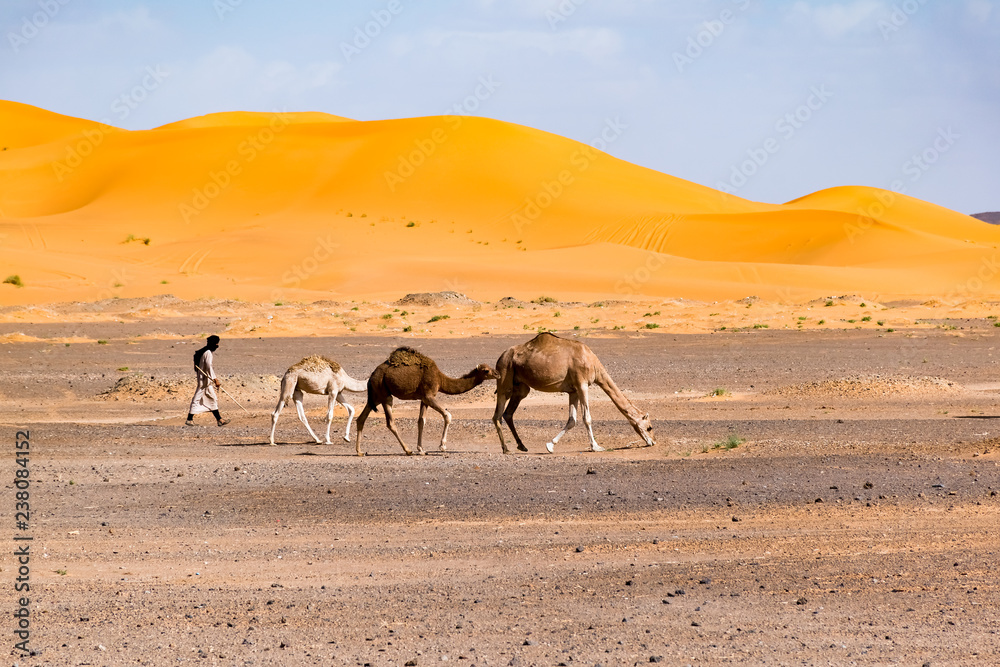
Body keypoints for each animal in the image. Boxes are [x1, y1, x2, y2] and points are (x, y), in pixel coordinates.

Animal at [355, 346, 499, 456]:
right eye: (486, 370)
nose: (498, 373)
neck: (440, 379)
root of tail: (372, 376)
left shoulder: (424, 398)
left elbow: (421, 421)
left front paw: (421, 449)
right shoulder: (429, 396)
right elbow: (448, 415)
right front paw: (442, 446)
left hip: (376, 396)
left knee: (361, 418)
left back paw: (360, 451)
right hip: (384, 394)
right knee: (390, 422)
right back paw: (408, 450)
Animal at [492, 332, 656, 454]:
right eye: (649, 427)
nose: (653, 442)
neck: (592, 363)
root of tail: (501, 357)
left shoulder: (573, 391)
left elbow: (572, 420)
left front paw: (550, 445)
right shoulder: (582, 384)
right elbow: (587, 418)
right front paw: (596, 447)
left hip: (521, 387)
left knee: (507, 413)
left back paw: (522, 446)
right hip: (504, 376)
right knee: (497, 415)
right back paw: (505, 449)